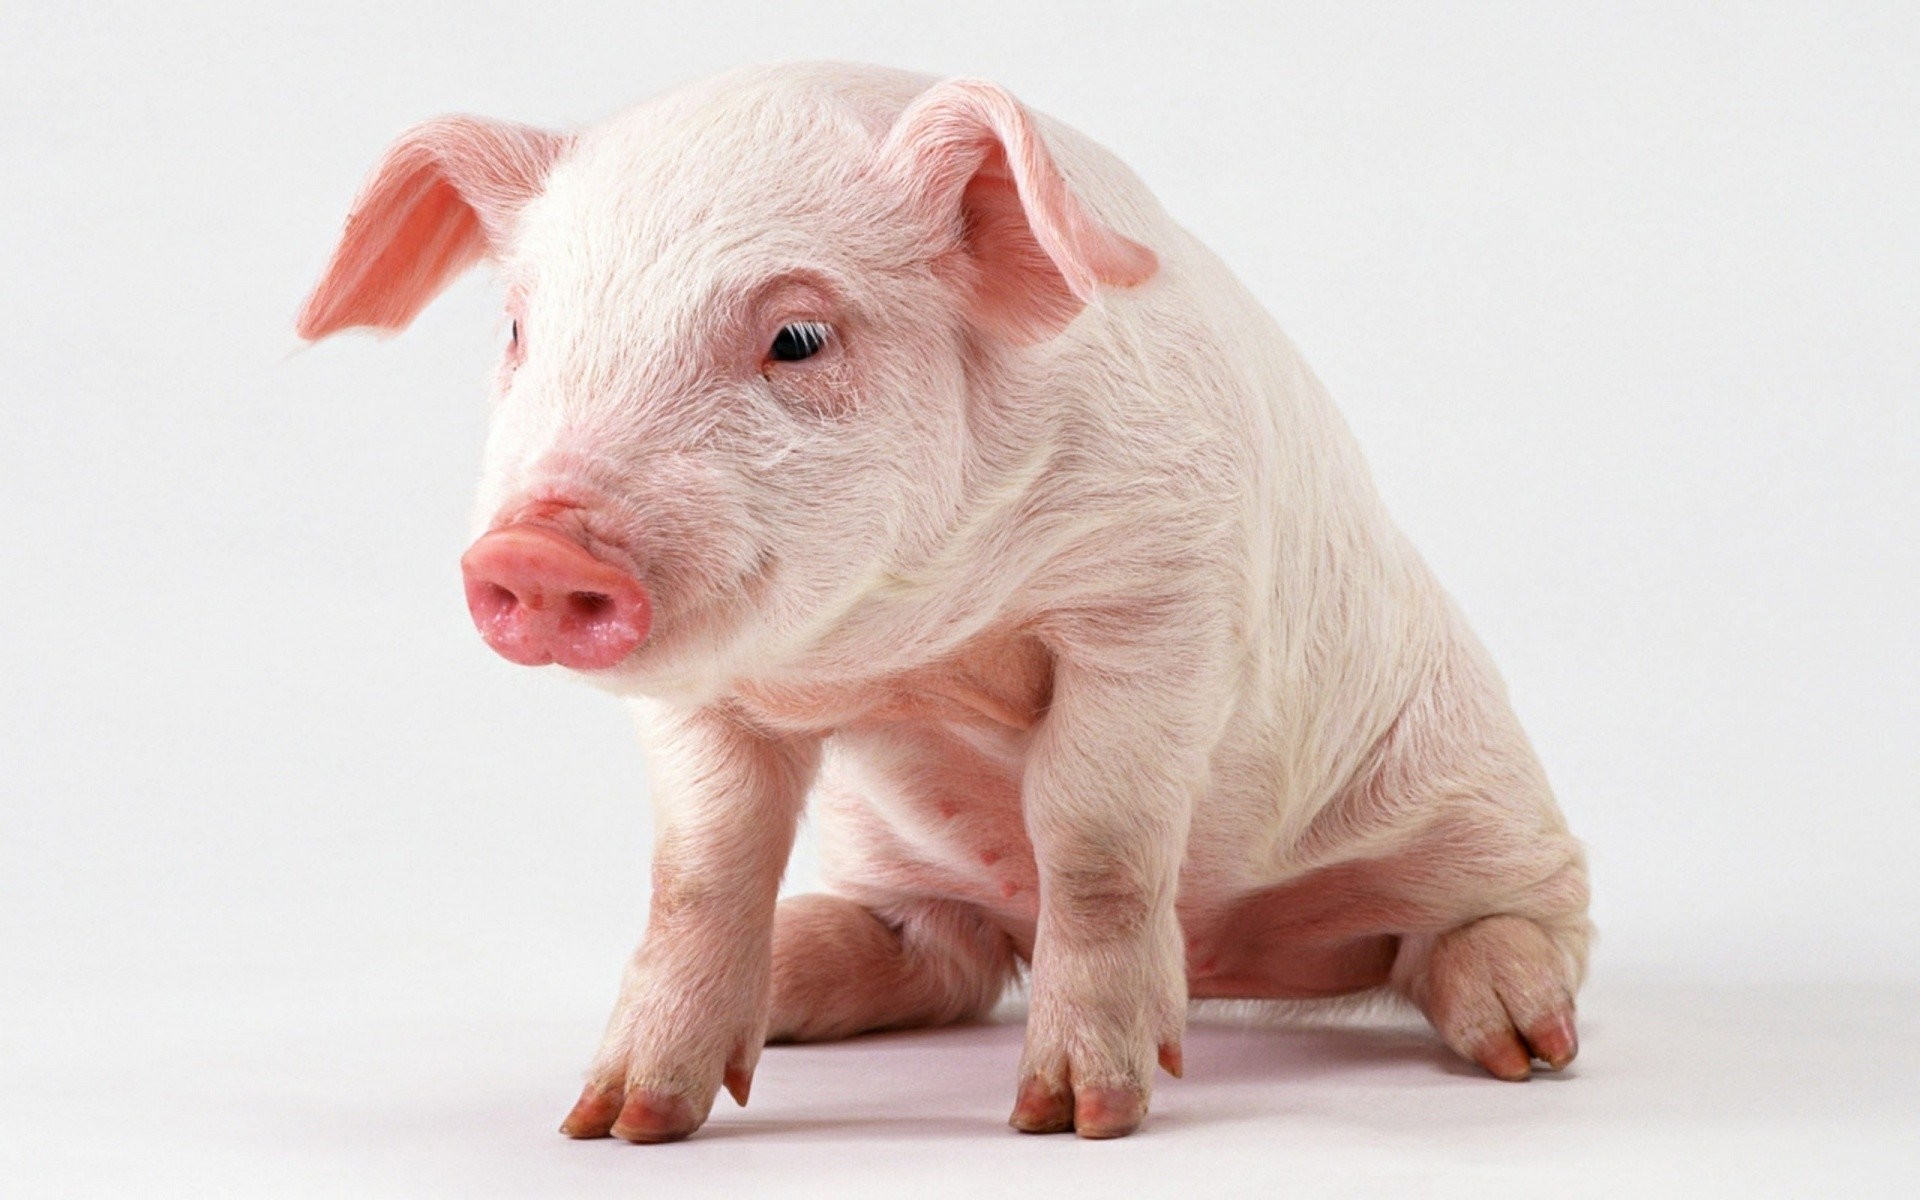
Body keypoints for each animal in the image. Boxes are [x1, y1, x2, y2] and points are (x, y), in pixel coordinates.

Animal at [297, 62, 1590, 1142]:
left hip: (1479, 795)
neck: (906, 642)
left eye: (798, 336)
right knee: (942, 954)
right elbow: (701, 870)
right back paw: (802, 971)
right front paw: (613, 1124)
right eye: (520, 330)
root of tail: (1240, 964)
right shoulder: (697, 702)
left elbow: (1096, 841)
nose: (534, 545)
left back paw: (1524, 1042)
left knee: (1495, 924)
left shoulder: (1159, 599)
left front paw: (1076, 1119)